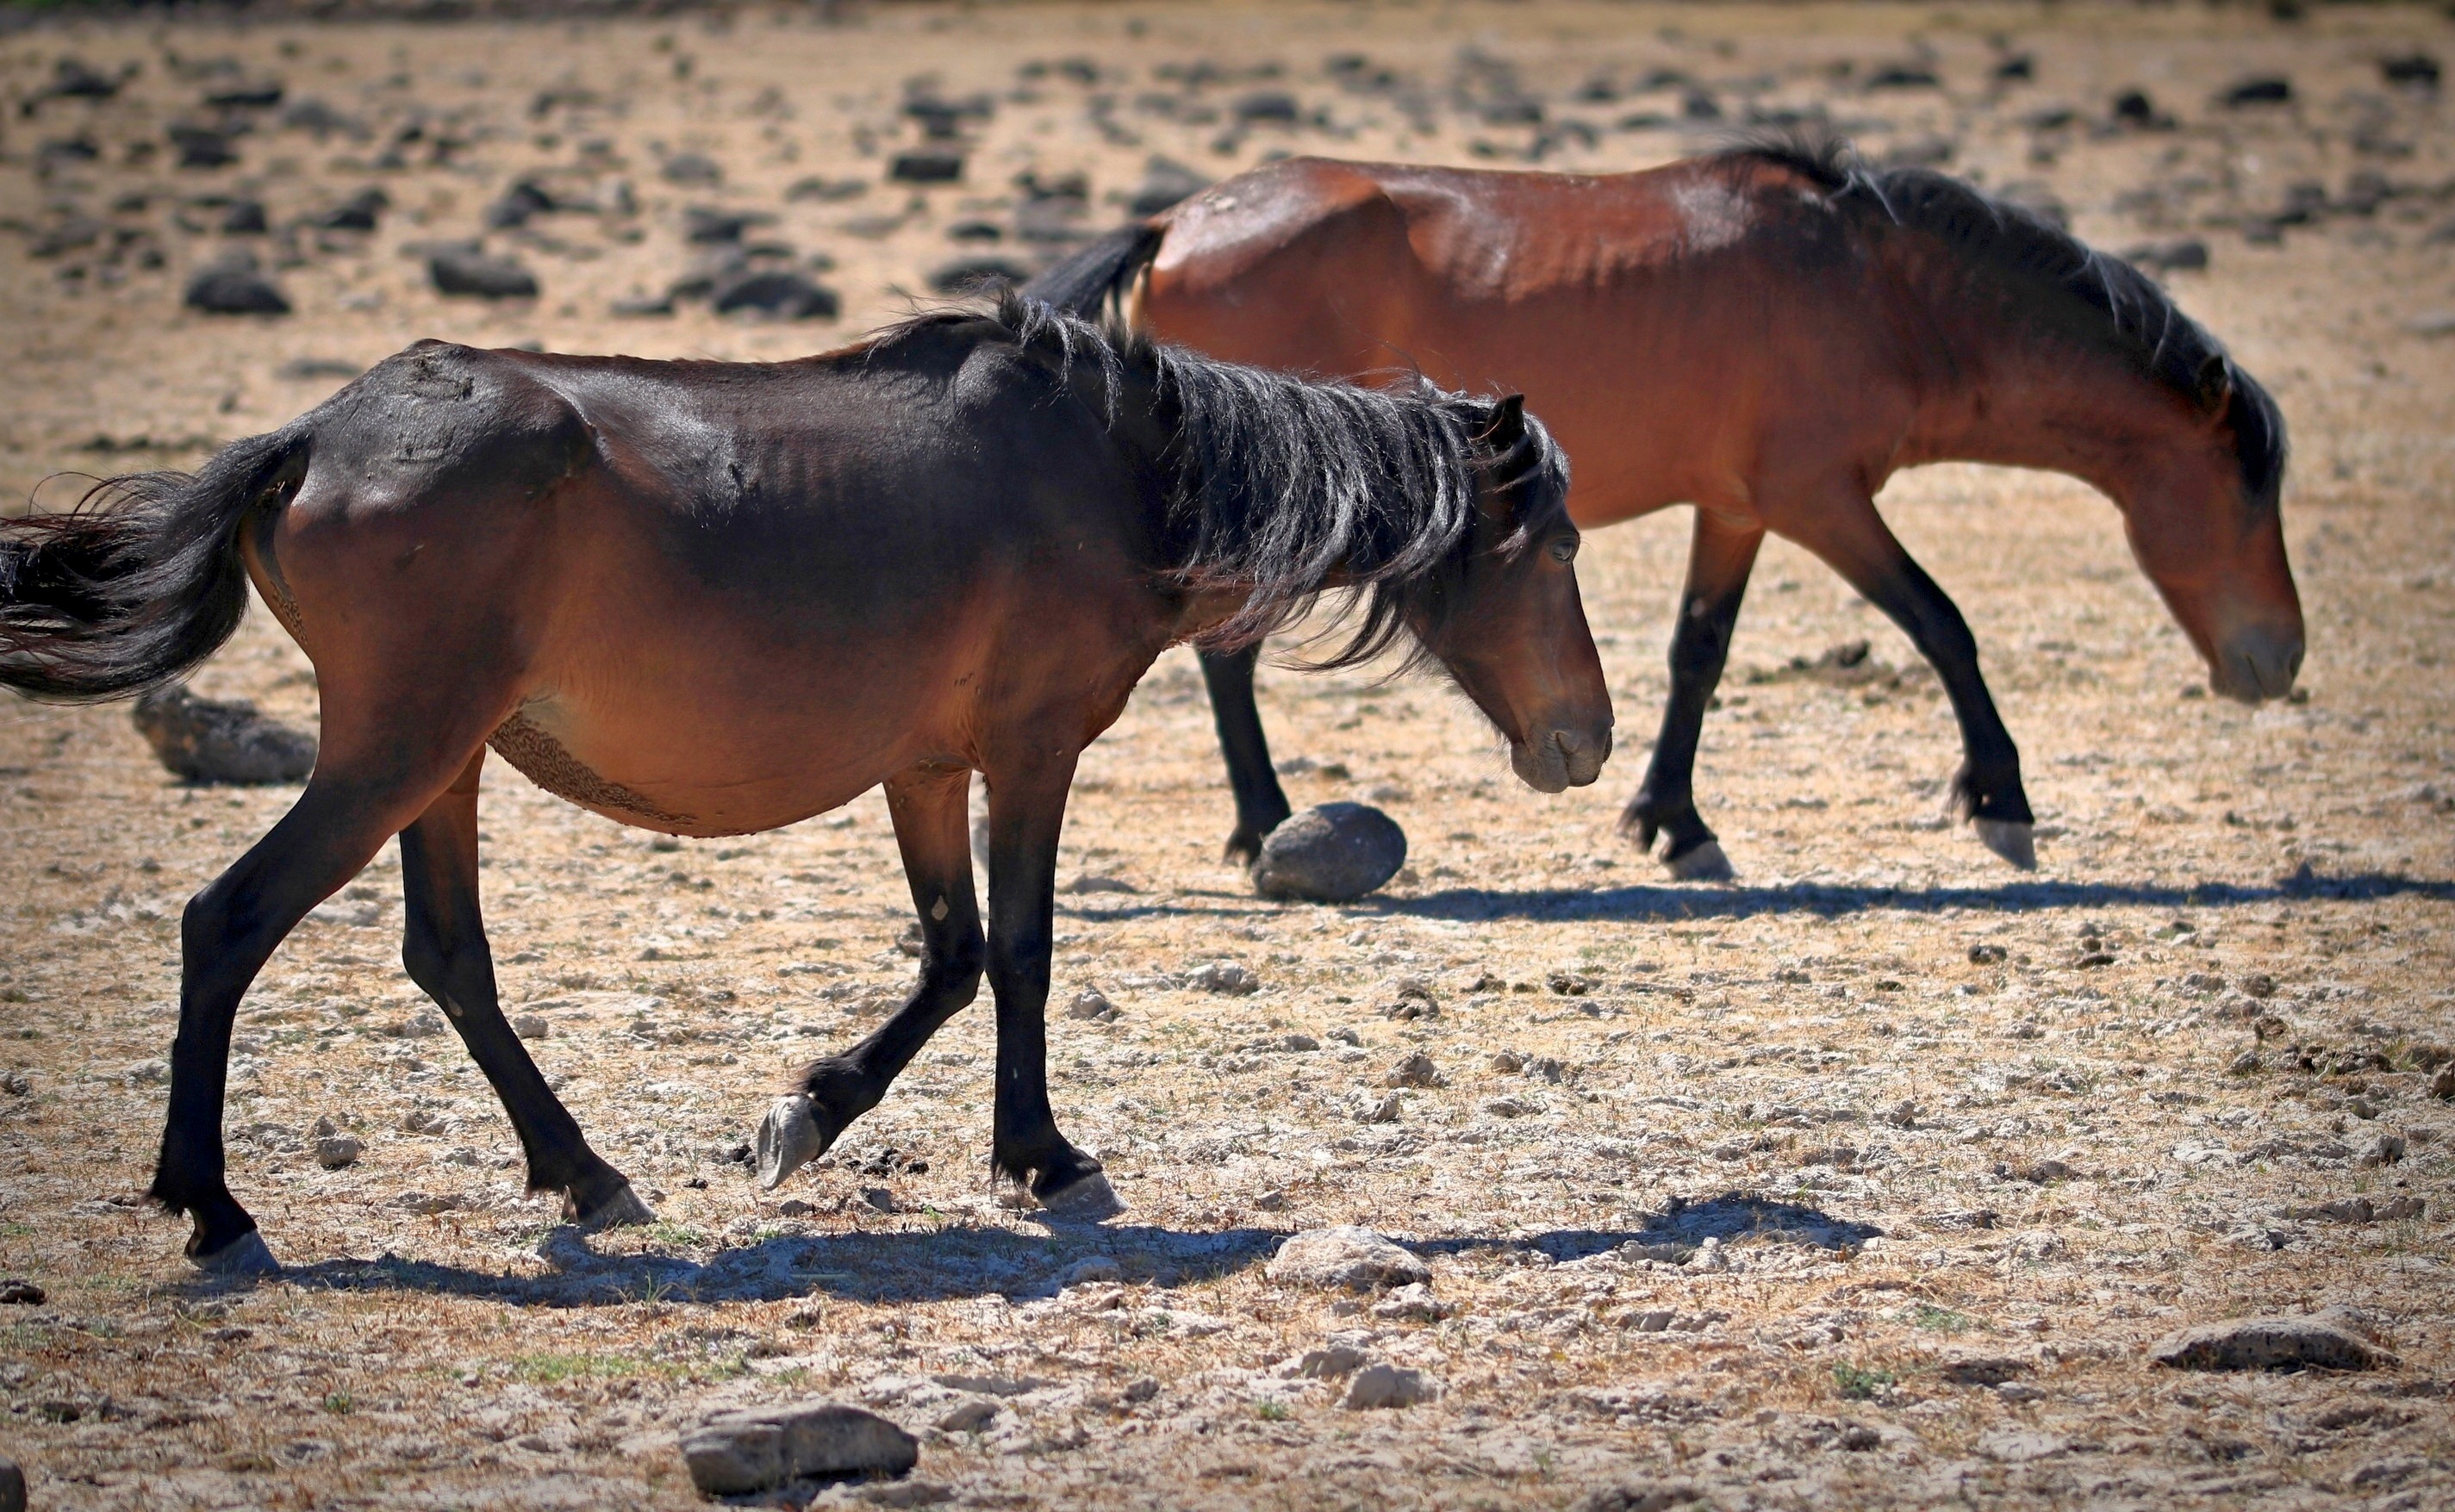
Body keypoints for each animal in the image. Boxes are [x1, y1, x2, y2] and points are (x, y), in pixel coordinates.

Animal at [0, 289, 1610, 1266]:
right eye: (1553, 544)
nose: (1585, 739)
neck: (1106, 469)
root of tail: (312, 439)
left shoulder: (926, 766)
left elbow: (953, 956)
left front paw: (805, 1117)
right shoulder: (1029, 748)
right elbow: (1022, 951)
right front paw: (1042, 1160)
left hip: (438, 767)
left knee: (447, 956)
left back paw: (584, 1173)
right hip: (391, 752)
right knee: (226, 922)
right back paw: (212, 1206)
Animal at [1031, 140, 2297, 878]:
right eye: (2249, 490)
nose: (2279, 660)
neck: (1873, 286)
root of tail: (1177, 224)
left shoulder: (1737, 508)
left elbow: (1700, 651)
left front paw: (1669, 817)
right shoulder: (1820, 498)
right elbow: (1942, 622)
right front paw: (2001, 795)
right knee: (1228, 657)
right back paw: (1266, 821)